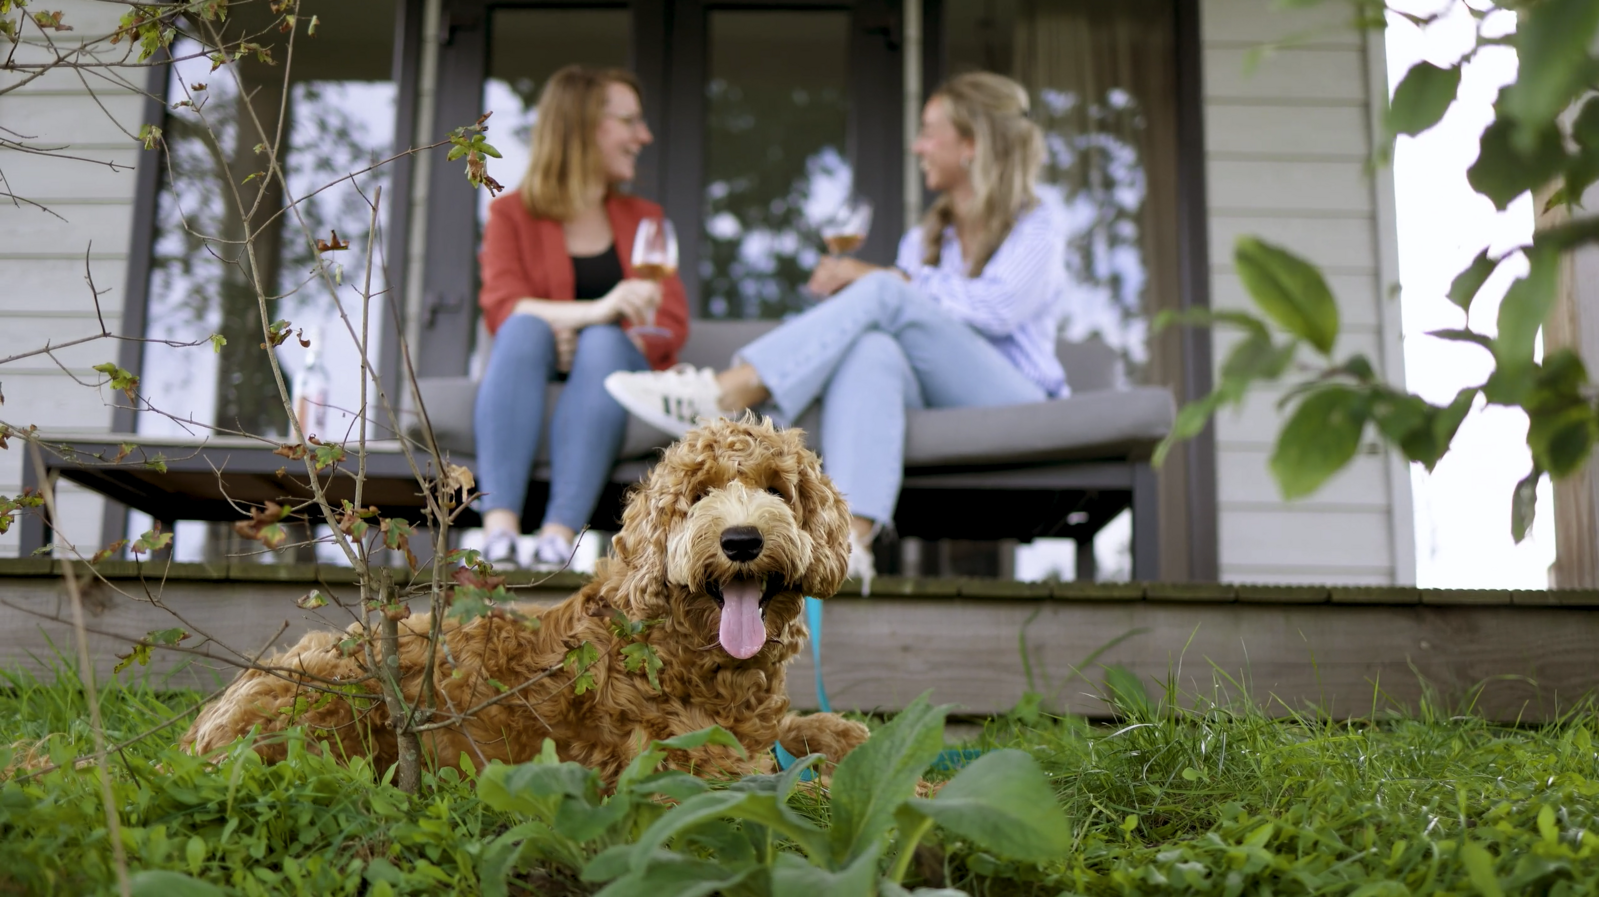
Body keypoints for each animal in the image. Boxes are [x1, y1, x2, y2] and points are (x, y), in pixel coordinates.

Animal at [179, 415, 869, 780]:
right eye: (698, 496)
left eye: (777, 489)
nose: (742, 540)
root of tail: (195, 738)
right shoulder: (688, 766)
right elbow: (788, 782)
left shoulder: (759, 727)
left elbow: (807, 729)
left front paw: (850, 735)